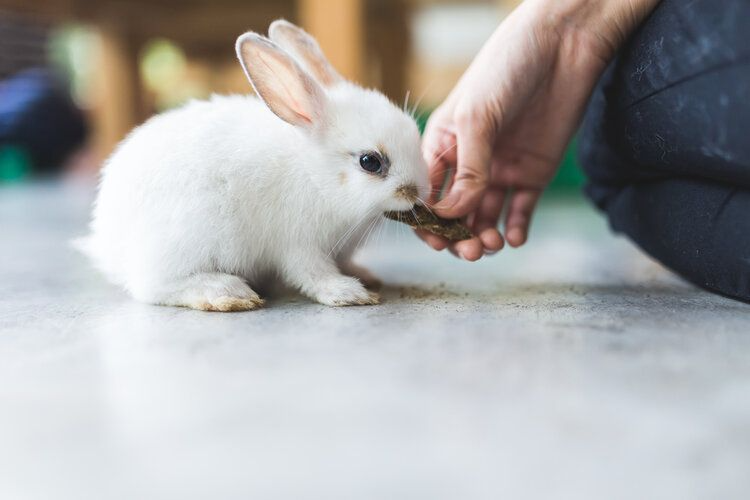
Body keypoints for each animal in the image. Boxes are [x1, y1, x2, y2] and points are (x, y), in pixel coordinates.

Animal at [78, 20, 428, 312]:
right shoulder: (299, 243)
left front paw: (363, 275)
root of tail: (106, 242)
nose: (418, 191)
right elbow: (313, 274)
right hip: (188, 237)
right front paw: (350, 293)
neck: (316, 175)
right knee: (152, 286)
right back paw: (226, 292)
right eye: (371, 162)